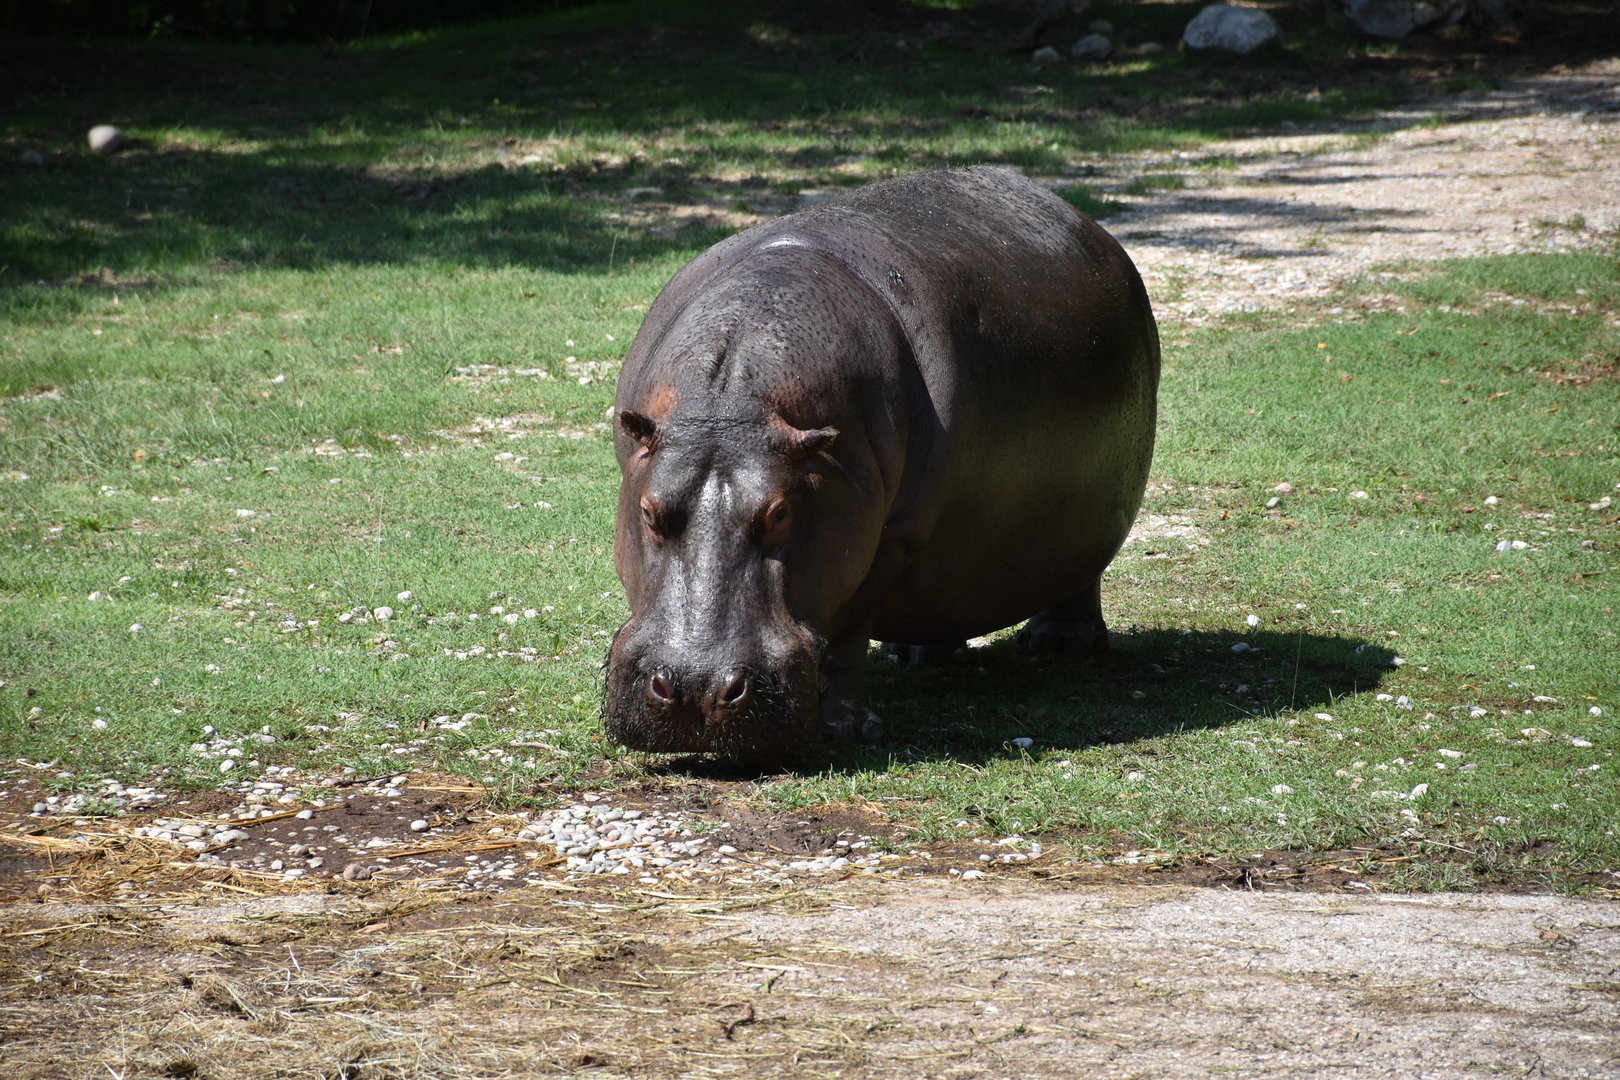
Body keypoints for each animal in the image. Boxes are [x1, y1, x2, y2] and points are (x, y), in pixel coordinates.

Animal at [604, 165, 1159, 764]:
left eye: (780, 513)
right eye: (649, 511)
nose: (696, 689)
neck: (733, 404)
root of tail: (1089, 225)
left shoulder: (888, 537)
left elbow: (846, 637)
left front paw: (843, 731)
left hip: (1090, 514)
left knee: (1080, 574)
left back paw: (1059, 645)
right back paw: (920, 654)